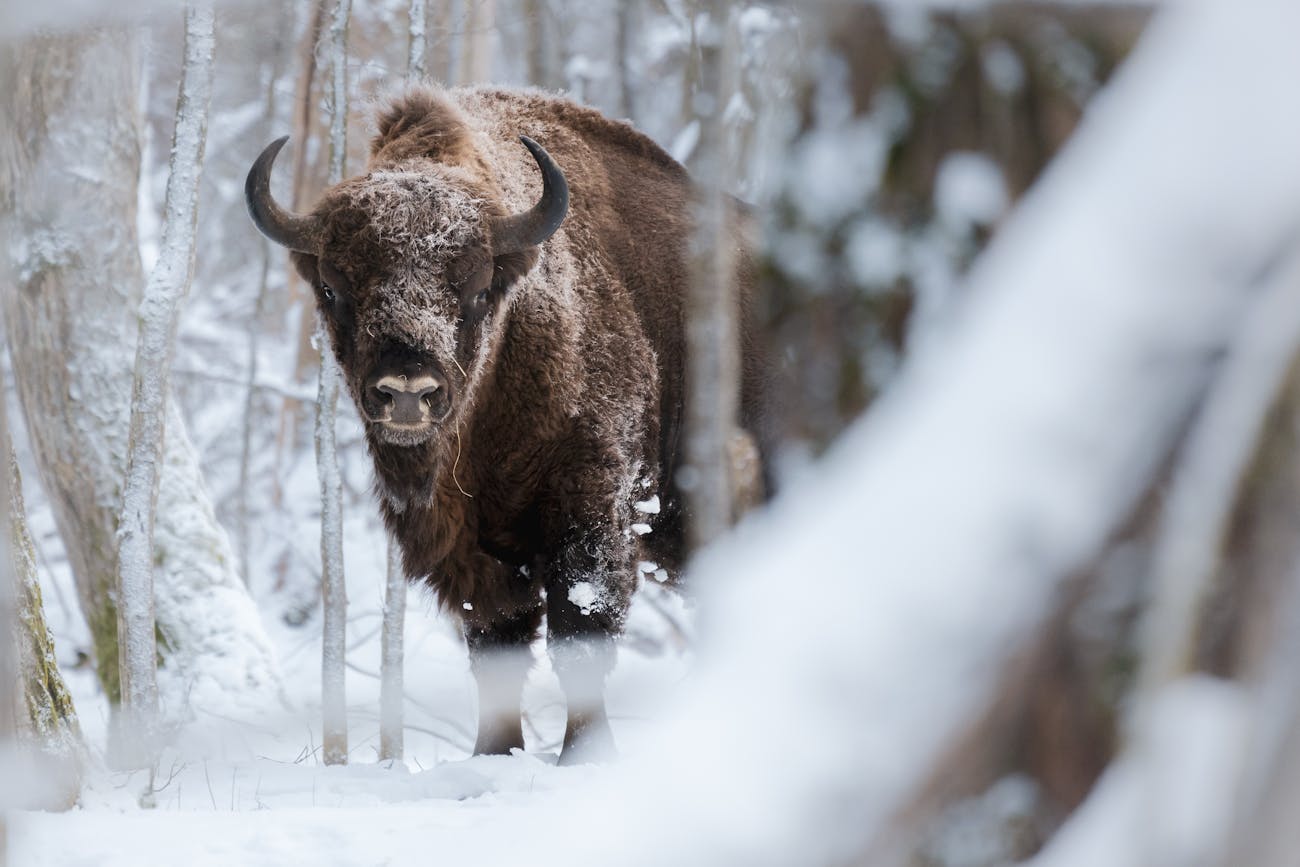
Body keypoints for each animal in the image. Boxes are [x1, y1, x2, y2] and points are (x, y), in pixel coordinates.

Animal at [248, 88, 764, 764]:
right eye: (335, 289)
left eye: (475, 289)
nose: (407, 392)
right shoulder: (477, 555)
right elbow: (496, 647)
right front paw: (493, 755)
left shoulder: (593, 516)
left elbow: (580, 639)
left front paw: (585, 758)